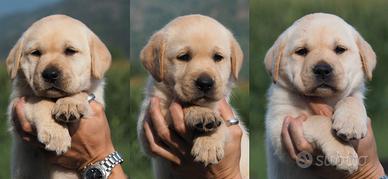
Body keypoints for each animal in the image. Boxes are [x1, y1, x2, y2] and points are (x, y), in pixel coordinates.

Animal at [6, 14, 111, 178]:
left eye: (70, 51)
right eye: (35, 53)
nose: (50, 74)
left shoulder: (96, 99)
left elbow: (80, 92)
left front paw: (69, 104)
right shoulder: (16, 105)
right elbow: (40, 100)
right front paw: (56, 135)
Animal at [138, 14, 250, 178]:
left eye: (218, 57)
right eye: (183, 57)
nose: (205, 83)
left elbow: (222, 123)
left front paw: (208, 145)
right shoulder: (147, 128)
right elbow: (180, 104)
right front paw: (201, 113)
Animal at [264, 12, 376, 179]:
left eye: (340, 49)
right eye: (301, 51)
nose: (322, 69)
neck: (326, 99)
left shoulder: (354, 94)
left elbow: (350, 99)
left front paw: (351, 123)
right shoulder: (279, 129)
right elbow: (319, 120)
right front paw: (343, 153)